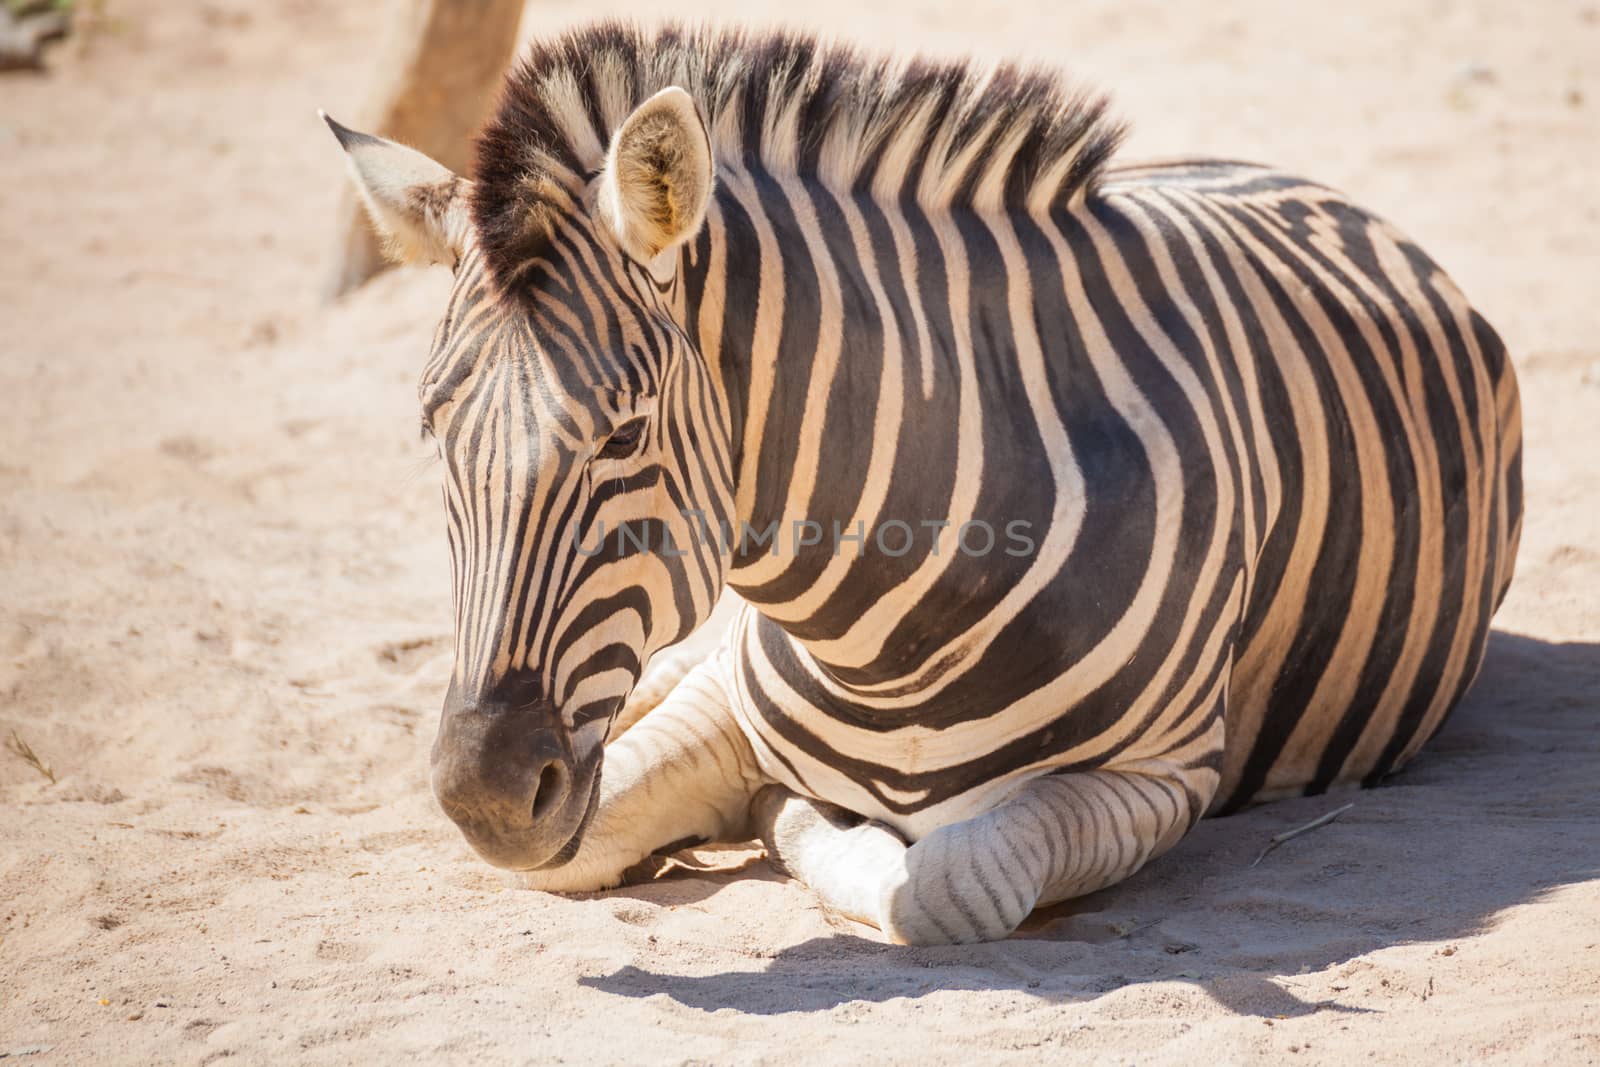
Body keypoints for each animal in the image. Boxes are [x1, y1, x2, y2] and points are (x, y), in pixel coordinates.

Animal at [324, 22, 1523, 940]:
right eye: (432, 432)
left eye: (622, 434)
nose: (481, 793)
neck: (889, 627)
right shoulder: (716, 706)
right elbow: (599, 825)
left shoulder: (1164, 776)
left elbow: (945, 880)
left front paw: (783, 815)